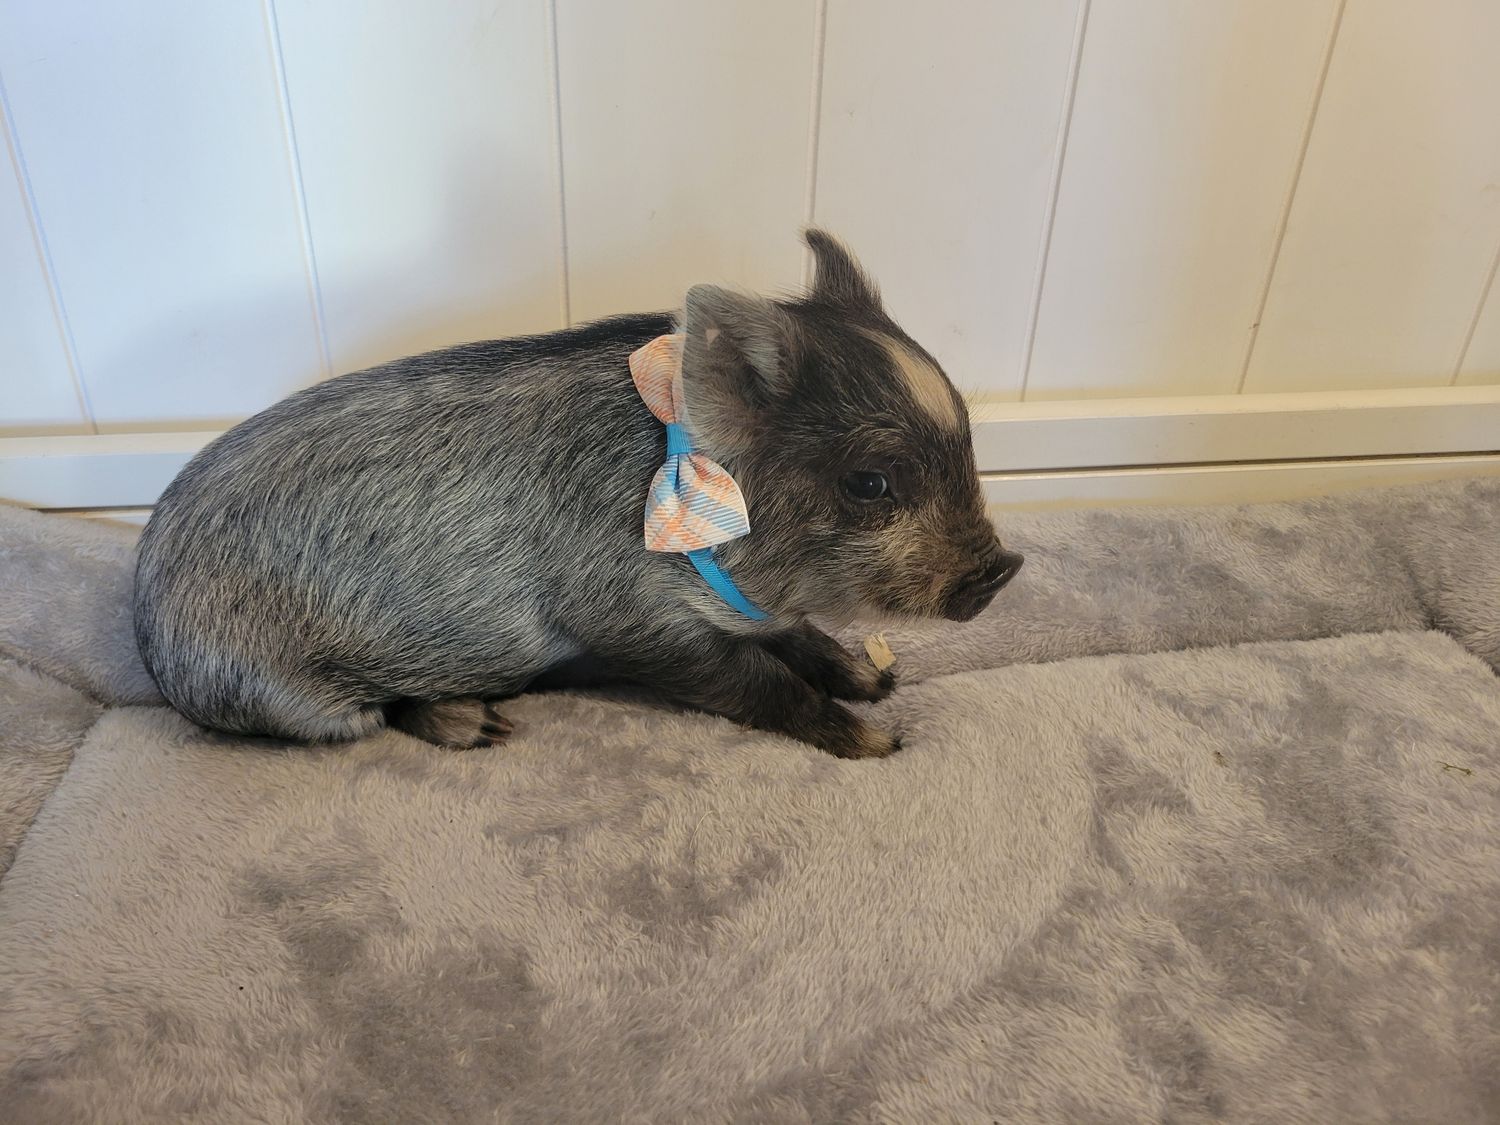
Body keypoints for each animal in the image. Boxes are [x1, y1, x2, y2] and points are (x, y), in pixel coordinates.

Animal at [133, 231, 1022, 759]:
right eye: (870, 480)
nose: (1003, 568)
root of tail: (143, 616)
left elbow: (799, 637)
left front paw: (876, 679)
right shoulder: (629, 619)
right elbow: (754, 680)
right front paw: (881, 740)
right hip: (280, 695)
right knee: (373, 715)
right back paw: (480, 725)